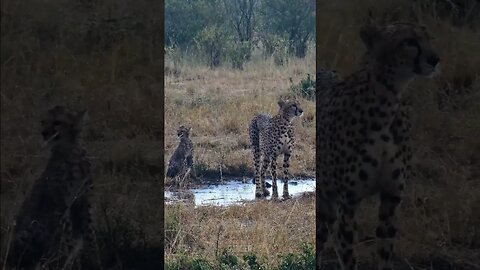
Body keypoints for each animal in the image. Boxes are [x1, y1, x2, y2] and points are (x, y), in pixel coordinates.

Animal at [6, 105, 94, 270]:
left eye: (57, 122)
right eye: (43, 122)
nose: (44, 133)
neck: (70, 153)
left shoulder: (84, 202)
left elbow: (90, 235)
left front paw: (93, 260)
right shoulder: (62, 205)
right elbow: (68, 239)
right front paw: (71, 263)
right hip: (27, 232)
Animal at [316, 22, 440, 268]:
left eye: (429, 37)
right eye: (409, 41)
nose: (435, 59)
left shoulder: (391, 198)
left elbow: (384, 254)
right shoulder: (348, 203)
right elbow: (349, 257)